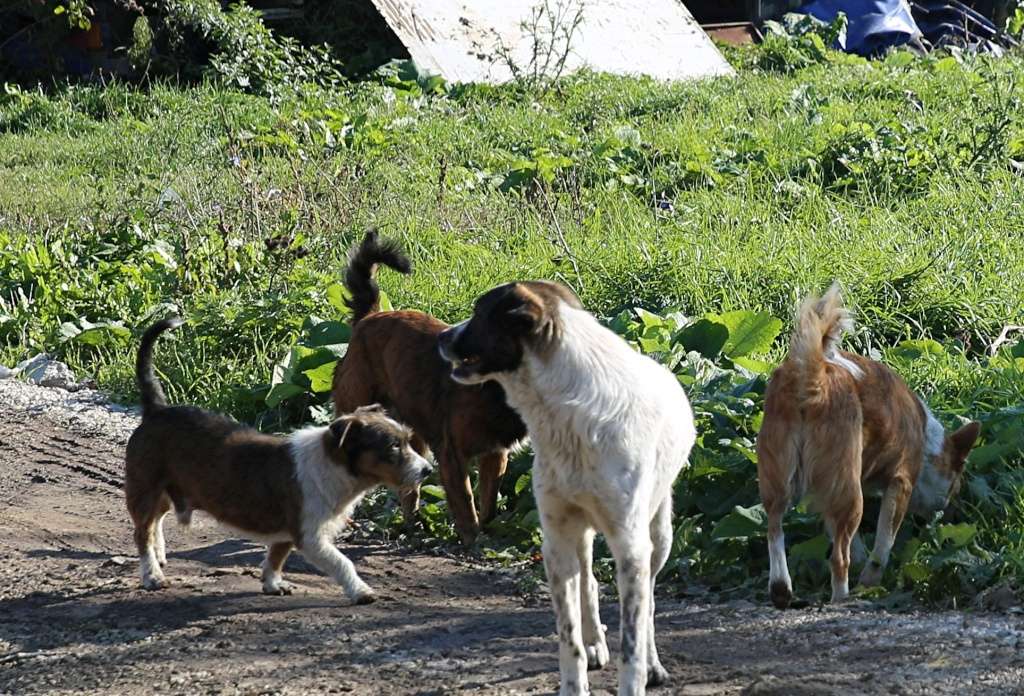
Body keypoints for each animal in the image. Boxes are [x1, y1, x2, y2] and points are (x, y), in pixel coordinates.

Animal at [124, 317, 432, 601]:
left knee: (156, 520)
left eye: (408, 440)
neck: (333, 465)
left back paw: (158, 553)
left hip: (166, 490)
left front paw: (272, 583)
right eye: (393, 446)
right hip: (144, 489)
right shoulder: (311, 536)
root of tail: (156, 410)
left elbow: (276, 557)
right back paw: (151, 574)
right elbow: (342, 562)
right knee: (142, 532)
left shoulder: (286, 534)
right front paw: (360, 590)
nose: (428, 470)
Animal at [757, 284, 978, 610]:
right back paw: (842, 596)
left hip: (778, 480)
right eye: (956, 487)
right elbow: (883, 543)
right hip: (850, 494)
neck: (928, 442)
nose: (953, 514)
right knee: (838, 558)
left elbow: (852, 540)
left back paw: (781, 589)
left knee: (775, 528)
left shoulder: (832, 494)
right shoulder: (900, 484)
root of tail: (813, 376)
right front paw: (871, 579)